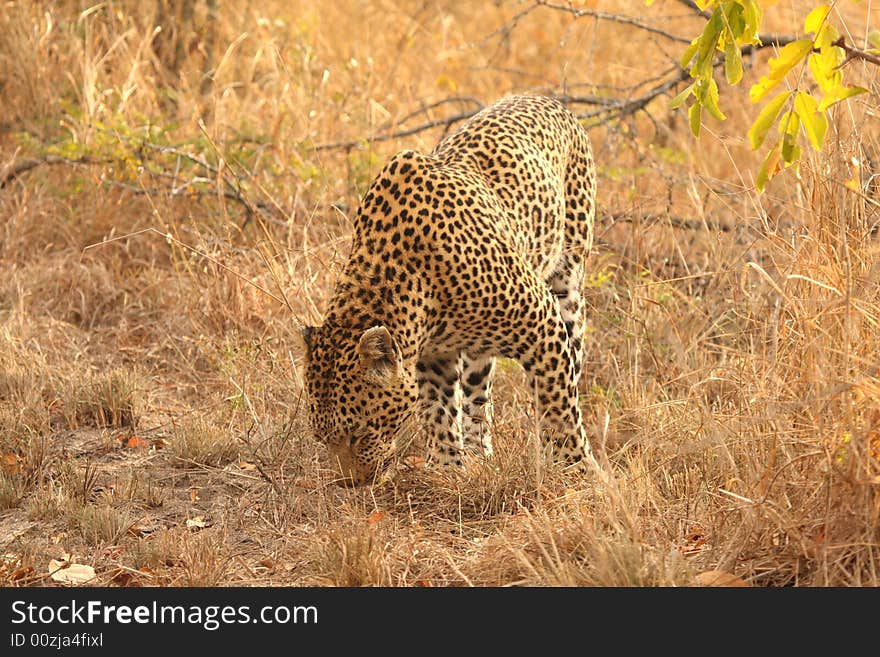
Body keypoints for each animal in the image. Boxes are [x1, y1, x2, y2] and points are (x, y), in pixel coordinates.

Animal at [300, 95, 600, 484]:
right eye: (322, 437)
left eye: (359, 433)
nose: (353, 483)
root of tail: (543, 98)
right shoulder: (433, 355)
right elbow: (437, 409)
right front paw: (448, 469)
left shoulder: (541, 322)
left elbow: (558, 405)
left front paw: (579, 471)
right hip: (479, 347)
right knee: (477, 393)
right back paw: (479, 454)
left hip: (568, 281)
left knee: (572, 364)